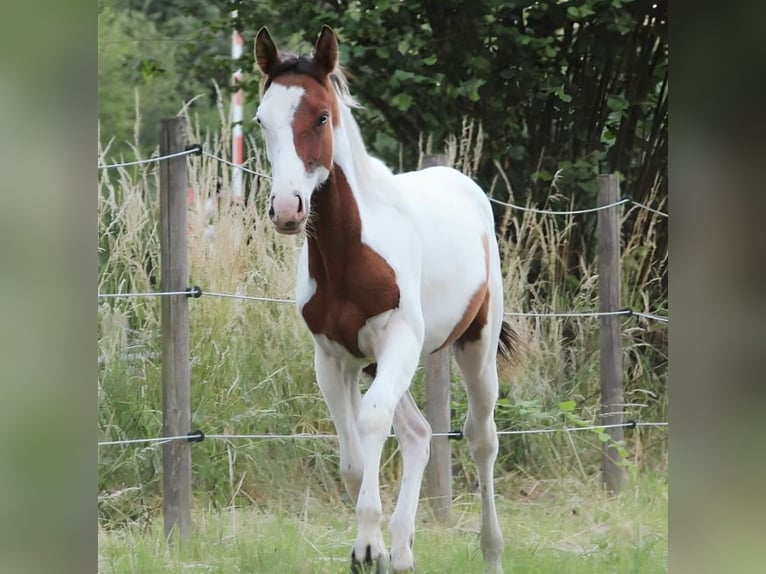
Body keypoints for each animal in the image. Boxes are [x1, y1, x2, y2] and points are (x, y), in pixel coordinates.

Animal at [256, 24, 516, 572]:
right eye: (261, 120)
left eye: (322, 115)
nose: (287, 209)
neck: (349, 253)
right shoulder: (334, 358)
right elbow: (354, 458)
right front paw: (374, 546)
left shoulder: (398, 339)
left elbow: (372, 421)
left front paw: (367, 545)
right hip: (381, 363)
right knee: (418, 433)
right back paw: (402, 551)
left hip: (476, 347)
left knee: (481, 438)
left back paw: (490, 552)